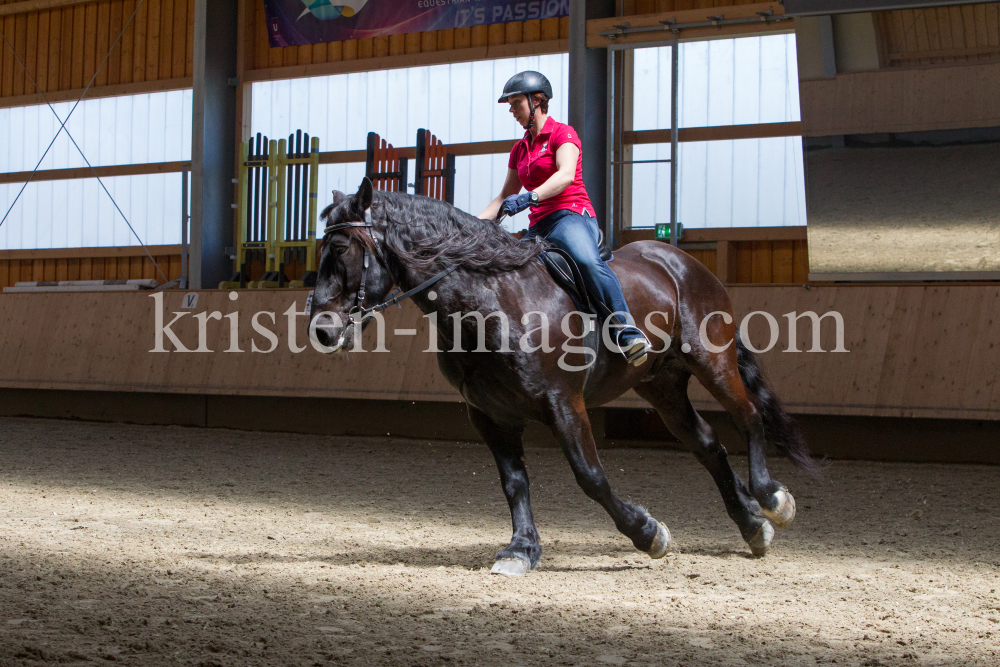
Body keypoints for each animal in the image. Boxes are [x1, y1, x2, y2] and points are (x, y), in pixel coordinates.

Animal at [308, 180, 816, 576]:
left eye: (340, 249)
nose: (322, 330)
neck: (491, 300)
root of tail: (679, 260)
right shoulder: (489, 415)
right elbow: (514, 483)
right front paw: (521, 550)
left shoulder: (563, 404)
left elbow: (590, 477)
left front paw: (648, 533)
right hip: (661, 386)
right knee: (708, 443)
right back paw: (753, 526)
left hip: (711, 360)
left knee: (748, 416)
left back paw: (772, 499)